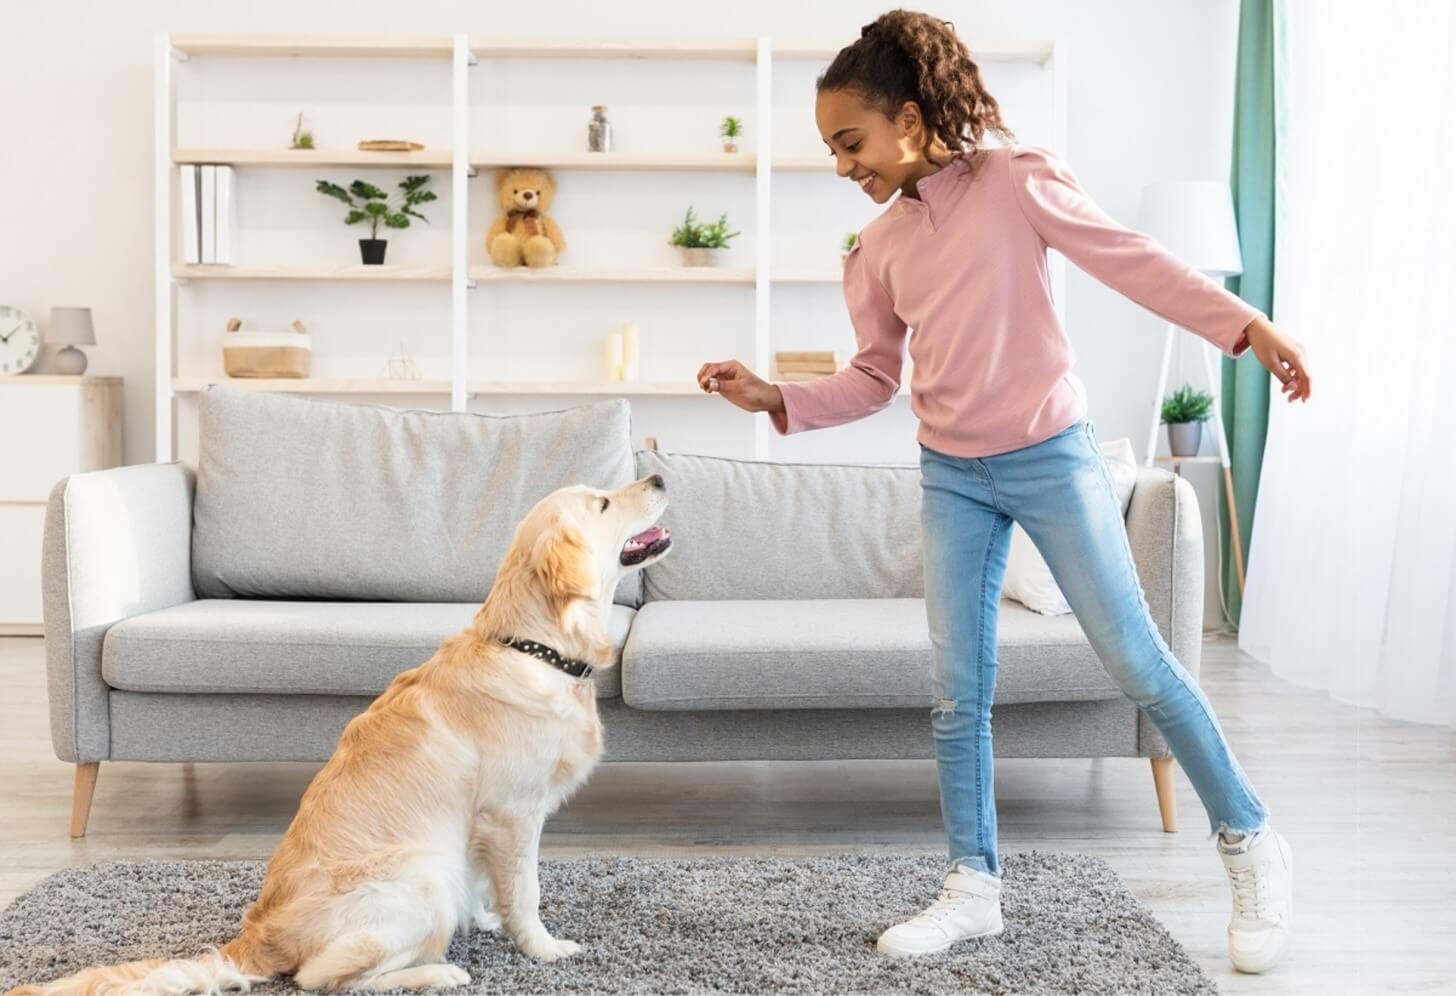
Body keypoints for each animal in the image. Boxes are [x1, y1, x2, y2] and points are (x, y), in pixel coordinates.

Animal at [7, 474, 669, 996]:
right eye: (603, 502)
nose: (660, 476)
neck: (534, 647)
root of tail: (257, 936)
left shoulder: (486, 824)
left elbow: (491, 880)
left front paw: (485, 916)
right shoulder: (513, 812)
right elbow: (526, 892)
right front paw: (543, 948)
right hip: (420, 878)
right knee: (324, 979)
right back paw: (438, 973)